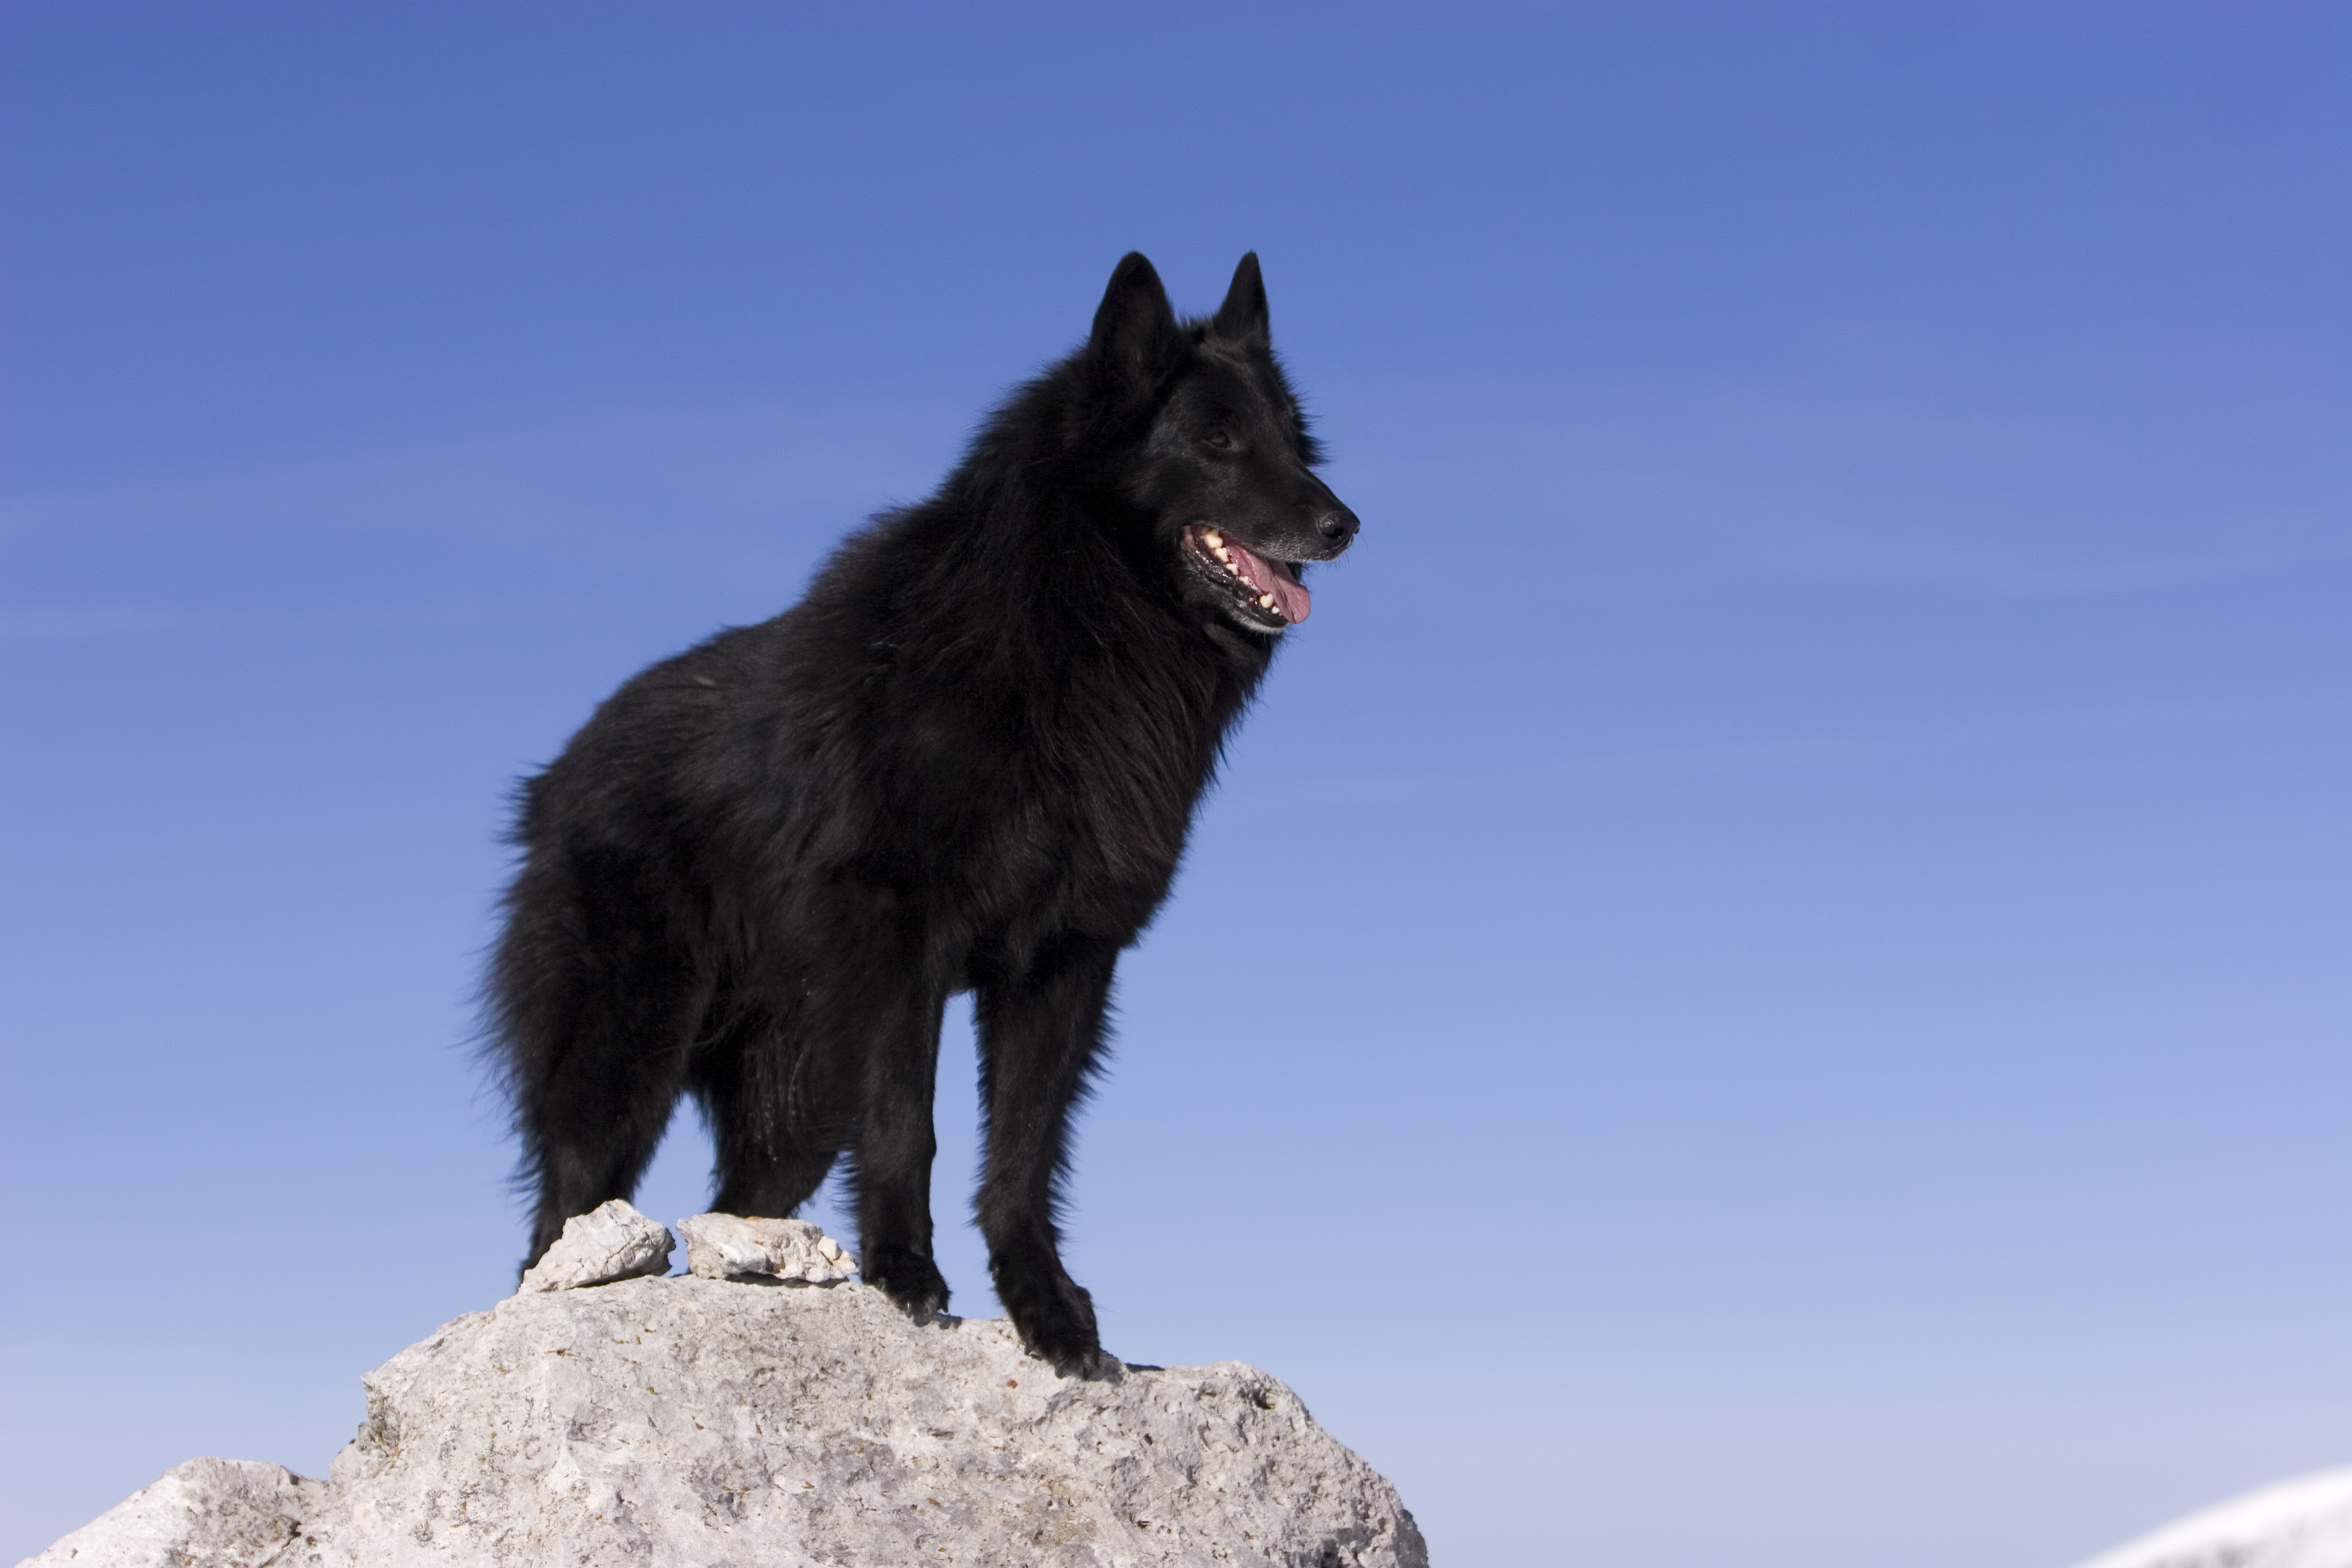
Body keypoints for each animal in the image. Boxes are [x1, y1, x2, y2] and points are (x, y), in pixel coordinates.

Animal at [487, 254, 1364, 1373]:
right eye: (1217, 440)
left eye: (1293, 438)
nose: (1344, 525)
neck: (1071, 630)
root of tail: (560, 769)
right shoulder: (905, 943)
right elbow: (912, 1120)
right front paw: (906, 1273)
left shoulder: (1064, 962)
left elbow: (1026, 1153)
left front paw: (1045, 1307)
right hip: (623, 1055)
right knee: (558, 1215)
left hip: (795, 1103)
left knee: (738, 1203)